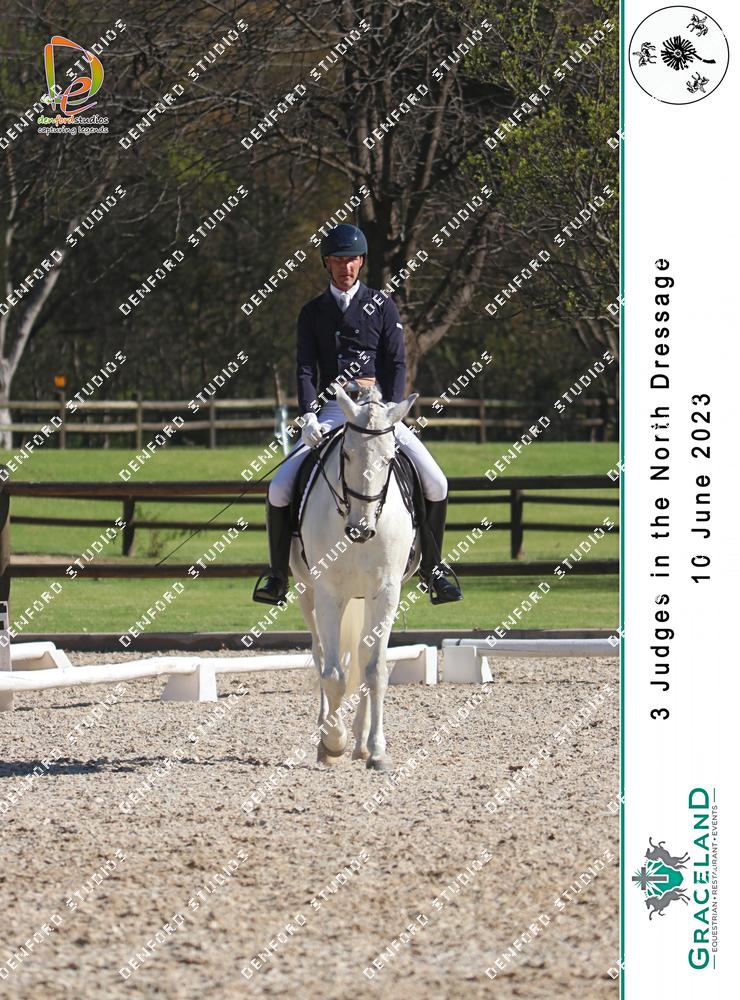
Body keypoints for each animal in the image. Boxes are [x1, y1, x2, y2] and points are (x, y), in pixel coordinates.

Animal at [292, 383, 419, 772]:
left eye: (390, 458)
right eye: (346, 455)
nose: (360, 530)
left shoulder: (386, 592)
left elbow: (375, 669)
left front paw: (376, 751)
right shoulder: (328, 592)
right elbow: (333, 675)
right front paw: (333, 742)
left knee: (362, 657)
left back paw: (362, 744)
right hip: (306, 591)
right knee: (321, 654)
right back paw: (327, 735)